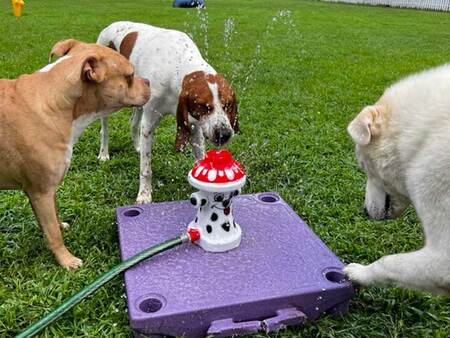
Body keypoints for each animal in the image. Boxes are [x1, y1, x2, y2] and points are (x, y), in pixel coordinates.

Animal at [0, 38, 151, 270]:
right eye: (130, 75)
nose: (149, 82)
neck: (55, 103)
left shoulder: (48, 190)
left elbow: (53, 219)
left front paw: (59, 226)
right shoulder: (40, 191)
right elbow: (53, 234)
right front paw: (67, 261)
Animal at [97, 22, 241, 205]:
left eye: (228, 105)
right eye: (203, 106)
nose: (225, 134)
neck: (177, 65)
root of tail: (111, 25)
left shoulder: (194, 126)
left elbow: (201, 157)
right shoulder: (149, 122)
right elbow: (145, 169)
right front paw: (144, 194)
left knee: (134, 123)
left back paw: (137, 146)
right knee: (105, 130)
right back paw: (104, 154)